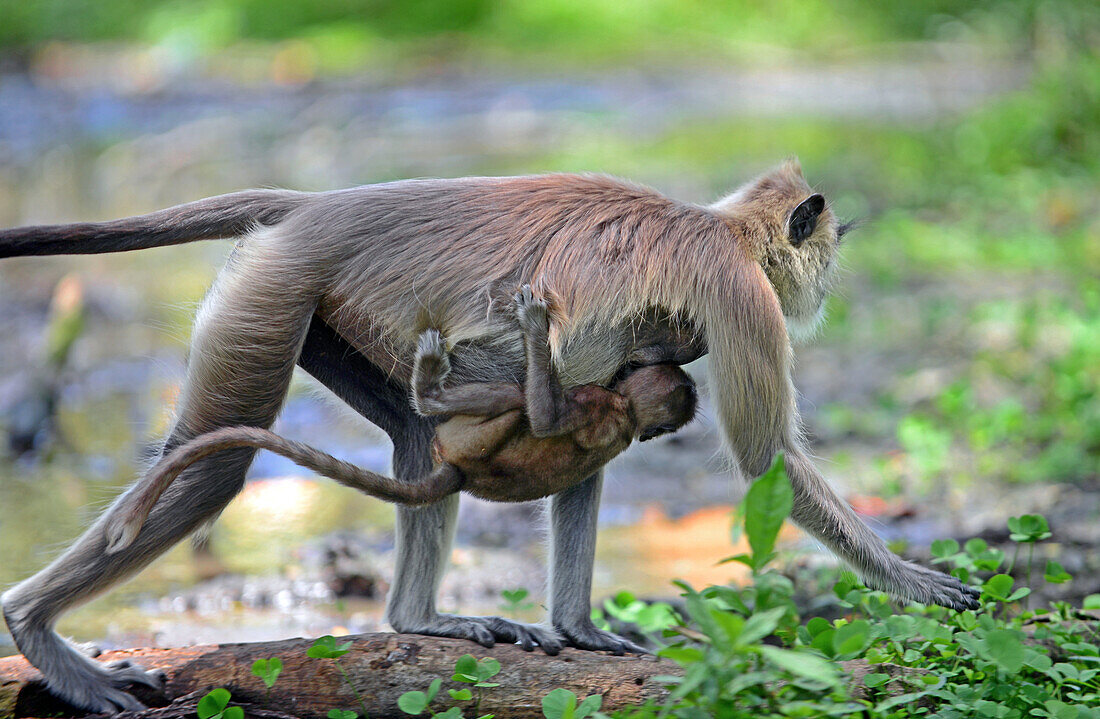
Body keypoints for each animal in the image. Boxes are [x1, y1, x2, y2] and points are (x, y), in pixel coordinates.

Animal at [0, 160, 981, 712]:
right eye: (826, 251)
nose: (827, 285)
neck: (719, 230)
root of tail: (316, 208)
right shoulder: (737, 291)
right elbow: (764, 459)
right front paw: (917, 580)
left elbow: (588, 421)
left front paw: (579, 629)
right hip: (274, 290)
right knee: (213, 466)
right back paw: (36, 631)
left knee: (415, 436)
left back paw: (419, 618)